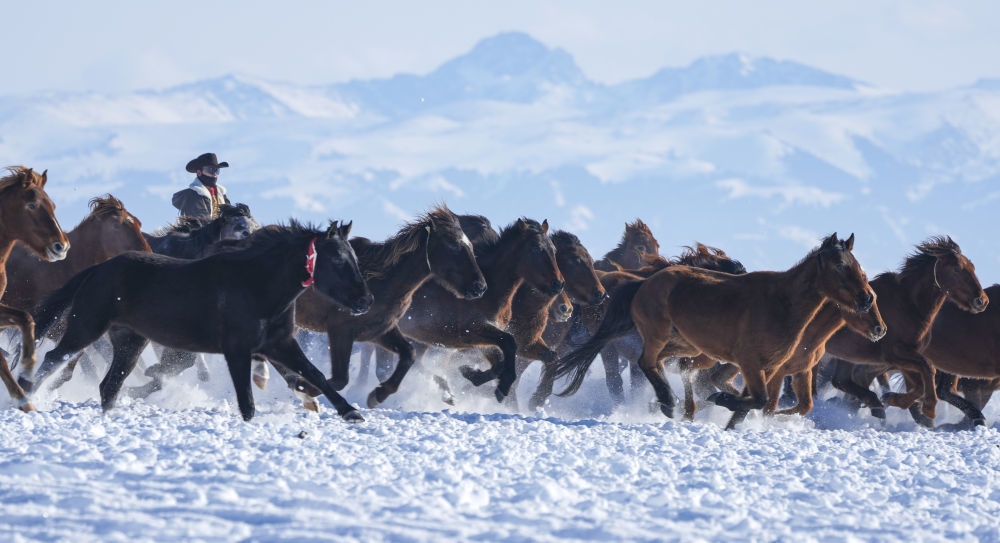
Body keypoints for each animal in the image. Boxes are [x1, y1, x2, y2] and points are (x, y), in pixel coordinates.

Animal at [19, 221, 372, 422]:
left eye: (354, 258)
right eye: (337, 260)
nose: (365, 301)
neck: (257, 284)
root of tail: (97, 270)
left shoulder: (279, 344)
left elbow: (314, 375)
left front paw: (350, 412)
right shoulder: (238, 350)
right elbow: (247, 401)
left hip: (131, 340)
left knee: (109, 385)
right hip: (87, 326)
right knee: (54, 359)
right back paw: (24, 398)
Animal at [276, 205, 486, 411]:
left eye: (470, 245)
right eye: (453, 245)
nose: (480, 287)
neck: (381, 281)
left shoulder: (379, 330)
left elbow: (408, 354)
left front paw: (378, 395)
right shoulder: (340, 331)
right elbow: (340, 379)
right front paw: (304, 388)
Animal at [554, 234, 882, 426]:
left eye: (858, 265)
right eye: (839, 265)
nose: (866, 299)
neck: (783, 303)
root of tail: (644, 282)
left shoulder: (769, 368)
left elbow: (759, 401)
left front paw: (730, 413)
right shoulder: (751, 363)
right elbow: (759, 399)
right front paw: (722, 401)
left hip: (684, 344)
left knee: (662, 364)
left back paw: (668, 403)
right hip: (659, 337)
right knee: (647, 363)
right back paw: (669, 402)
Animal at [825, 237, 988, 423]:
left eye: (972, 267)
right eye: (957, 269)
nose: (981, 301)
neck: (908, 304)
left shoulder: (902, 357)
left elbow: (920, 382)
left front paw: (893, 399)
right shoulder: (895, 354)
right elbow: (928, 370)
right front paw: (928, 408)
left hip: (846, 356)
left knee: (841, 381)